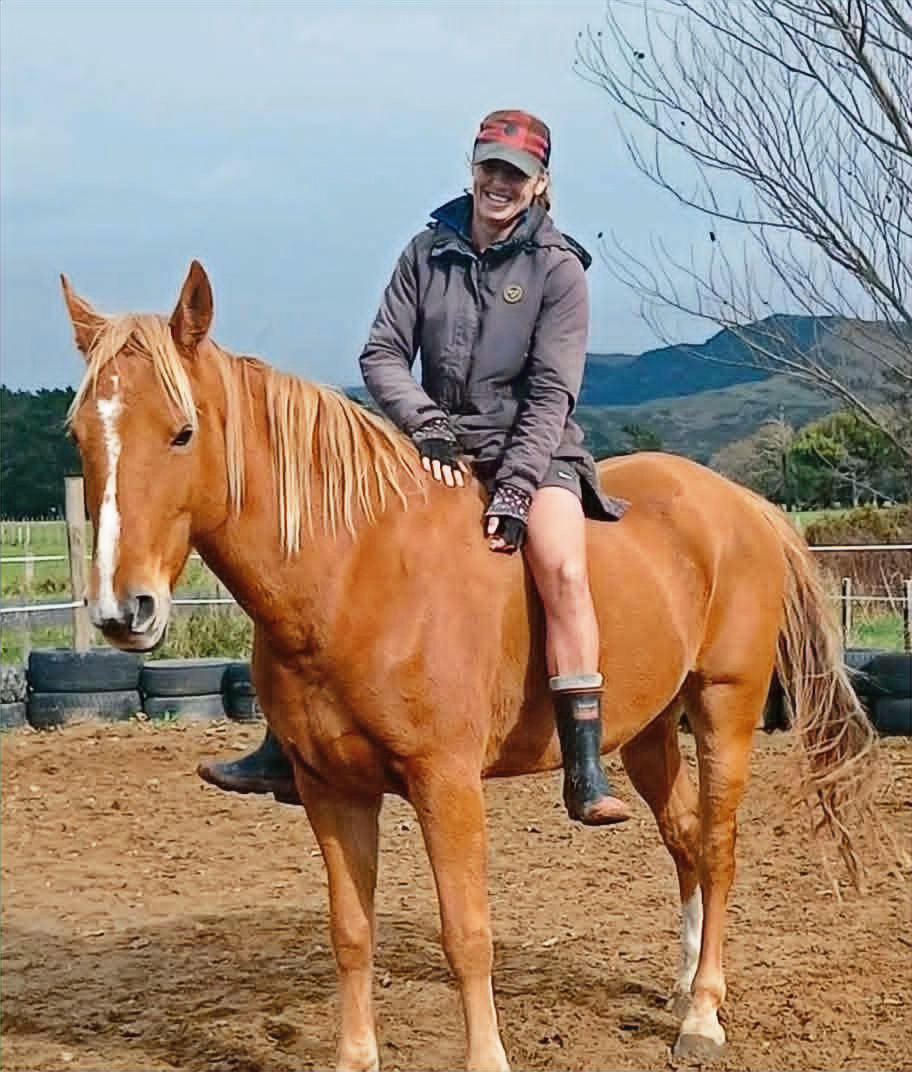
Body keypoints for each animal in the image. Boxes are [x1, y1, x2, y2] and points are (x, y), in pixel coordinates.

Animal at [61, 260, 878, 1071]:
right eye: (79, 435)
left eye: (183, 433)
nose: (122, 609)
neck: (355, 571)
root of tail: (744, 504)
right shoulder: (331, 789)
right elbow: (350, 932)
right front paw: (355, 1057)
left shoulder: (446, 784)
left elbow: (467, 934)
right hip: (648, 727)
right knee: (682, 838)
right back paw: (682, 987)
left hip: (723, 707)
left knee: (716, 845)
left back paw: (703, 1013)